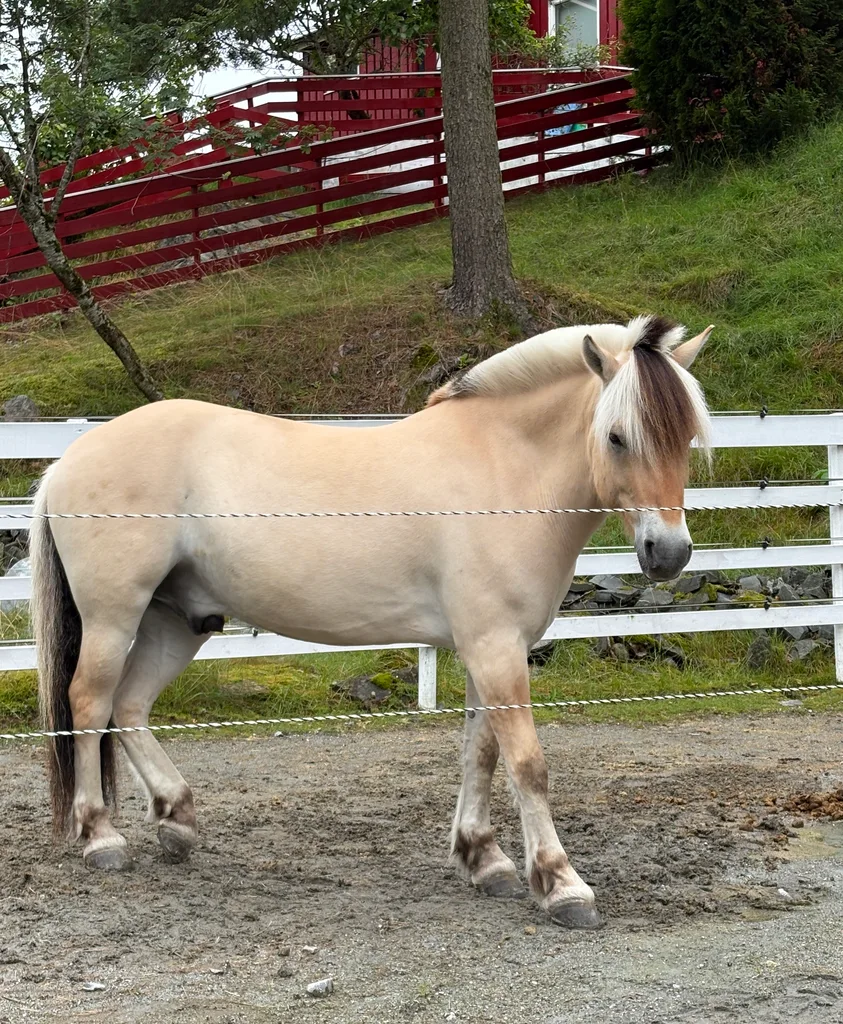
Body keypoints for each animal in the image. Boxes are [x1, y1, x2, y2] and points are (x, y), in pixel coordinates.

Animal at [31, 313, 712, 930]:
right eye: (618, 437)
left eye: (685, 437)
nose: (669, 553)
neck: (502, 469)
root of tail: (66, 462)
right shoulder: (494, 647)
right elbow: (527, 764)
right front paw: (562, 884)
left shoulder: (487, 647)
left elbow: (481, 754)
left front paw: (483, 860)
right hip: (114, 617)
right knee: (89, 704)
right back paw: (101, 837)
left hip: (178, 621)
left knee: (130, 707)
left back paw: (177, 820)